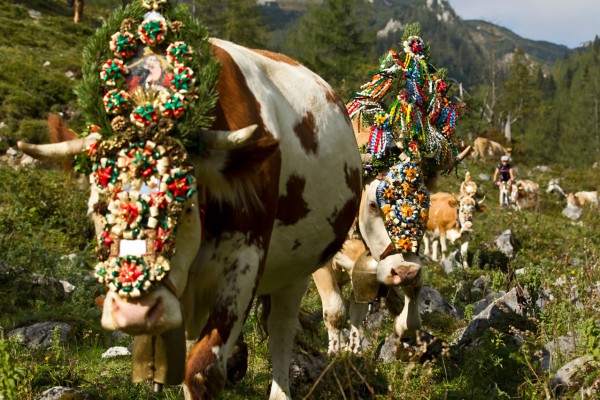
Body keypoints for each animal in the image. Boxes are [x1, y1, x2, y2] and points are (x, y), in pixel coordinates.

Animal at [21, 36, 364, 396]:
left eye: (181, 203)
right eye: (98, 208)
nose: (133, 310)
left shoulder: (246, 261)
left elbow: (200, 368)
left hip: (296, 272)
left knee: (282, 334)